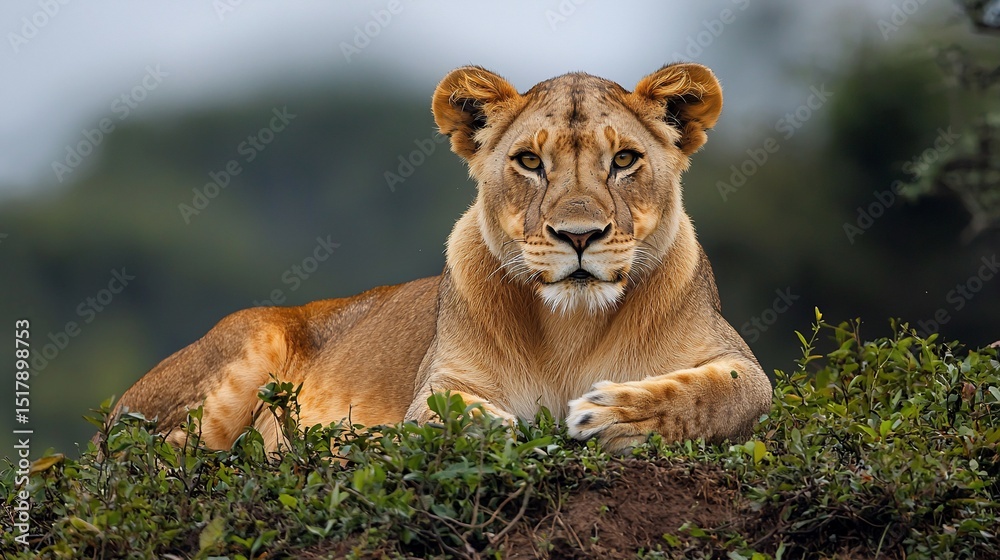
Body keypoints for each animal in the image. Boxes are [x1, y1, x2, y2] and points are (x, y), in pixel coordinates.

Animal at [109, 63, 772, 453]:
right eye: (530, 162)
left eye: (626, 160)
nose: (578, 235)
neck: (571, 327)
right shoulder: (441, 384)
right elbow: (446, 418)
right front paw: (507, 428)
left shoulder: (738, 364)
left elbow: (722, 395)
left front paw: (612, 417)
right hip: (245, 350)